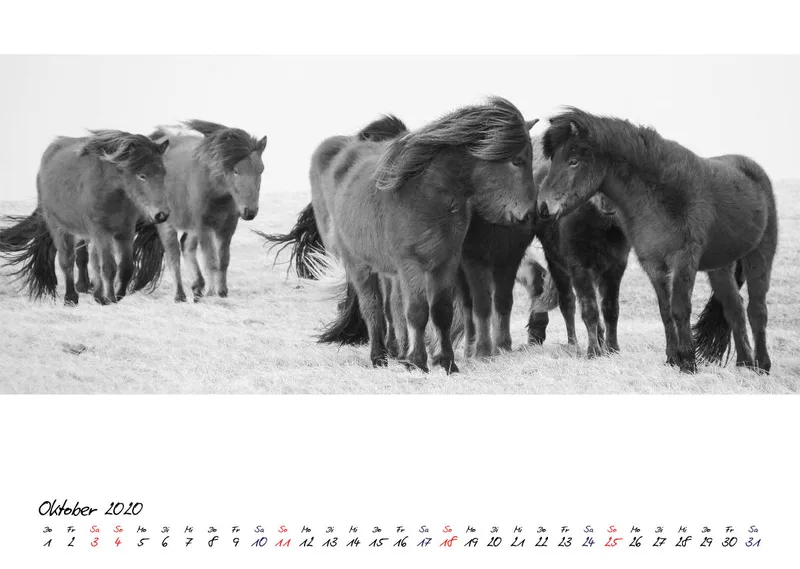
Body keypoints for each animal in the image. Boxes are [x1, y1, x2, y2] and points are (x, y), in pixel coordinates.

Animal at [0, 130, 170, 305]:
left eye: (163, 173)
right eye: (142, 175)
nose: (161, 214)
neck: (111, 192)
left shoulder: (125, 232)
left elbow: (126, 267)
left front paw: (117, 295)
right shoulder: (101, 233)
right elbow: (109, 267)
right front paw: (110, 299)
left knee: (86, 259)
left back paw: (93, 293)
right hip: (59, 228)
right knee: (67, 261)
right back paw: (71, 298)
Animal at [137, 120, 267, 301]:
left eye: (260, 169)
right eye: (236, 170)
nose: (250, 211)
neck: (216, 191)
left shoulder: (226, 229)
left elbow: (223, 260)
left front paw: (222, 291)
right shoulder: (204, 227)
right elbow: (210, 261)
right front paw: (212, 292)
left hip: (192, 229)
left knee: (186, 247)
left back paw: (197, 286)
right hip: (167, 225)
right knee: (173, 257)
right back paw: (180, 295)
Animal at [266, 98, 538, 373]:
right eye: (517, 161)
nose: (528, 214)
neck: (425, 196)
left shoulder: (446, 263)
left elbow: (441, 312)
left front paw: (447, 363)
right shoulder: (411, 264)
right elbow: (417, 312)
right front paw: (418, 362)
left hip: (389, 272)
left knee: (391, 307)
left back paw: (396, 352)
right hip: (358, 264)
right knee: (373, 308)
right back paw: (379, 357)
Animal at [537, 107, 777, 374]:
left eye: (574, 161)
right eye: (554, 160)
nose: (544, 207)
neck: (659, 196)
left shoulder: (683, 261)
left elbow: (681, 308)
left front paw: (688, 363)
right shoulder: (652, 264)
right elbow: (665, 311)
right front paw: (673, 358)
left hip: (760, 254)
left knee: (757, 309)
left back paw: (762, 365)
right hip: (721, 267)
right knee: (734, 309)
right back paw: (744, 364)